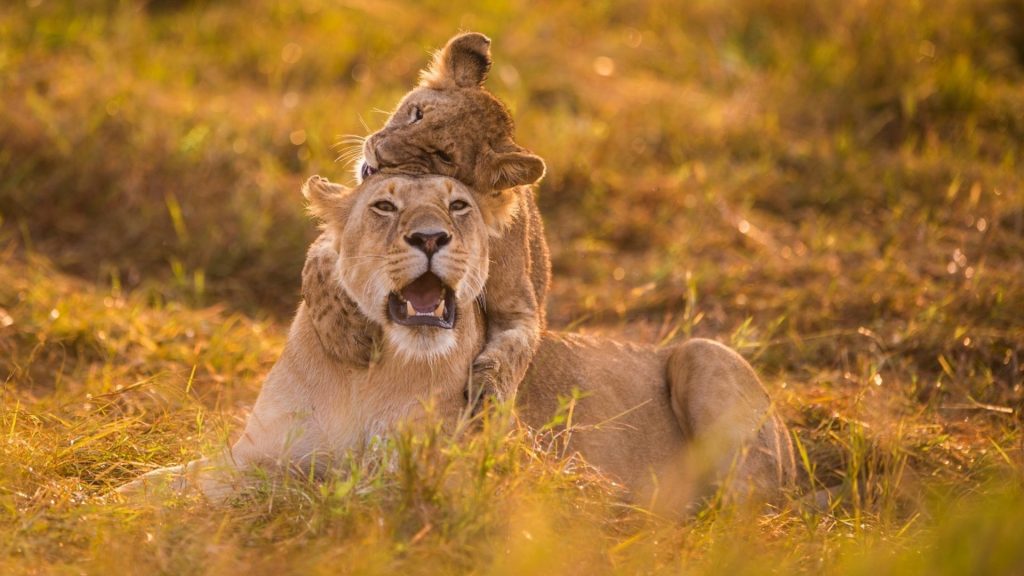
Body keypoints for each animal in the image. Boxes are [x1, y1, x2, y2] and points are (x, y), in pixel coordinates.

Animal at [120, 174, 795, 510]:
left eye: (459, 205)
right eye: (384, 205)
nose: (429, 238)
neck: (365, 373)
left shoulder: (414, 474)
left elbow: (293, 485)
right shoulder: (253, 448)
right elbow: (172, 477)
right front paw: (115, 496)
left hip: (705, 354)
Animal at [311, 32, 549, 412]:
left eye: (442, 156)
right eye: (417, 113)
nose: (379, 155)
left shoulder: (522, 307)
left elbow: (513, 351)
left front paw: (488, 394)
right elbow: (320, 262)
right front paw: (344, 333)